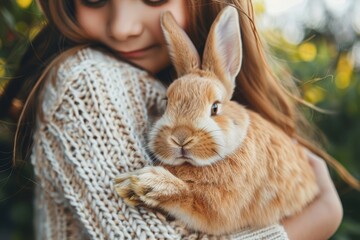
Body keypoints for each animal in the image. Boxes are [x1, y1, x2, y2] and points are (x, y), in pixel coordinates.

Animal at [114, 6, 318, 235]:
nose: (181, 137)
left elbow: (190, 197)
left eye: (215, 108)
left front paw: (142, 184)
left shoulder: (220, 208)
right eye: (166, 102)